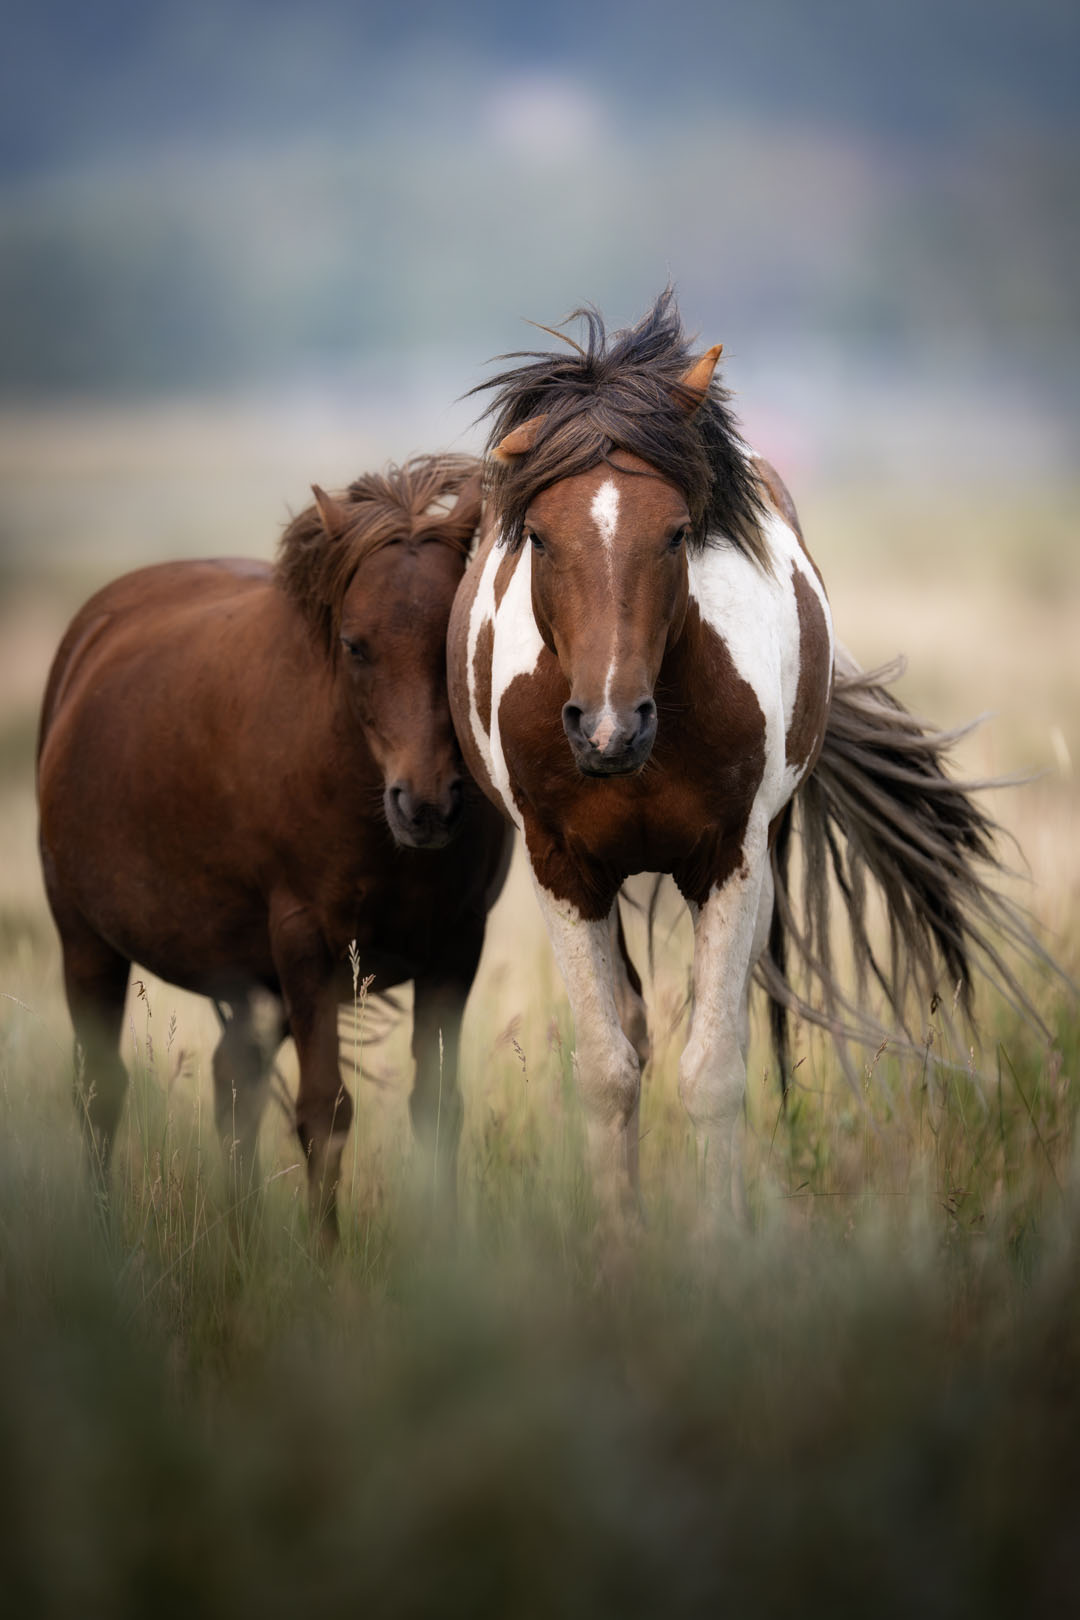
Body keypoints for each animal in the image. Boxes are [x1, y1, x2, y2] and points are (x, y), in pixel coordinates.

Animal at [38, 454, 512, 1242]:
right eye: (355, 645)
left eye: (453, 639)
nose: (427, 805)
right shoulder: (306, 946)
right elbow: (325, 1114)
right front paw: (326, 1261)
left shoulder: (456, 947)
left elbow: (439, 1109)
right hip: (88, 946)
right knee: (99, 1093)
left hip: (249, 981)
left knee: (234, 1087)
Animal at [448, 290, 1044, 1222]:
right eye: (539, 538)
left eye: (676, 533)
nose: (609, 728)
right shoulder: (562, 870)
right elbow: (610, 1075)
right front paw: (618, 1243)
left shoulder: (730, 858)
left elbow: (713, 1075)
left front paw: (717, 1244)